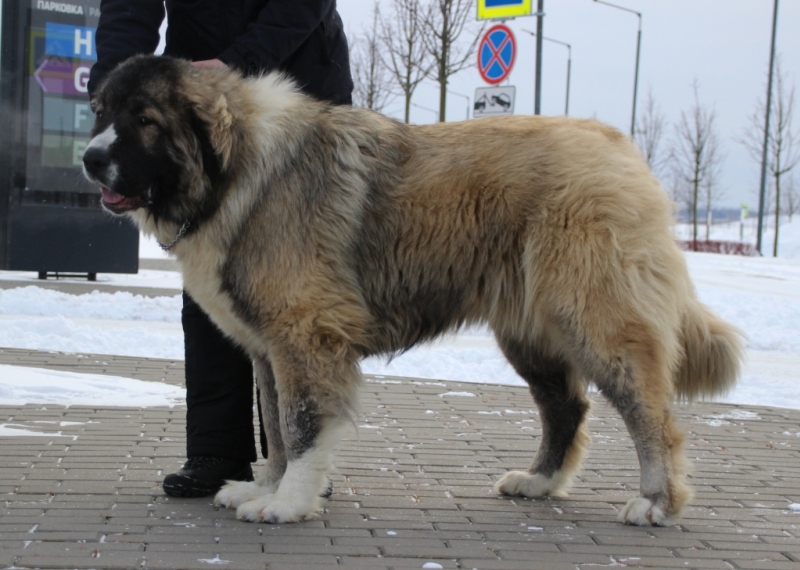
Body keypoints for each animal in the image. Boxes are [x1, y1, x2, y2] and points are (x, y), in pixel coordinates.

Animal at [81, 55, 744, 524]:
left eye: (144, 120)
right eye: (101, 113)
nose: (88, 158)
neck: (238, 169)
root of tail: (618, 146)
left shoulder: (304, 333)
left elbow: (300, 424)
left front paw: (288, 502)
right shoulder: (270, 348)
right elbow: (273, 424)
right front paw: (264, 486)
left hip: (594, 320)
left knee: (651, 414)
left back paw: (656, 503)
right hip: (530, 332)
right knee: (567, 407)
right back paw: (540, 481)